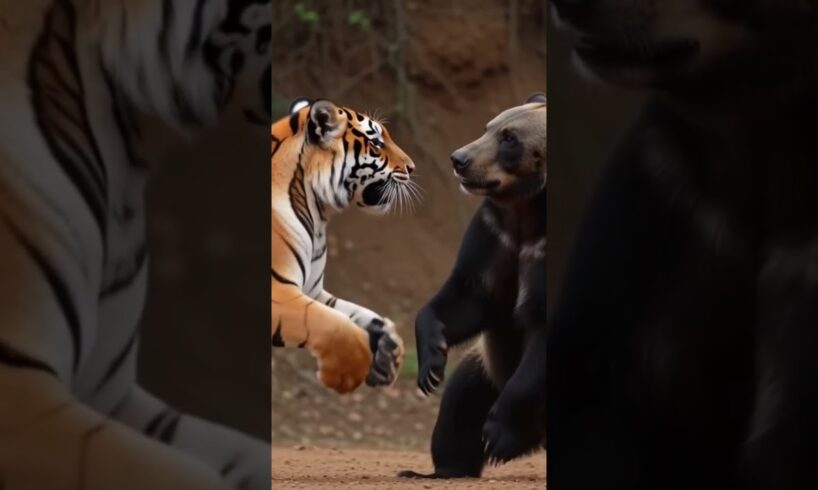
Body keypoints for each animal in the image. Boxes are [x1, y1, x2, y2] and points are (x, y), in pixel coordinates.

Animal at [271, 97, 419, 394]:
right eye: (377, 142)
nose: (412, 167)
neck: (318, 212)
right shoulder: (279, 291)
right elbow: (330, 323)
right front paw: (344, 375)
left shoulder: (311, 290)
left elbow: (351, 313)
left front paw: (390, 352)